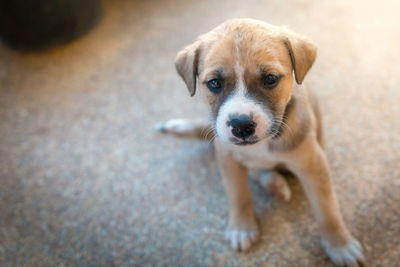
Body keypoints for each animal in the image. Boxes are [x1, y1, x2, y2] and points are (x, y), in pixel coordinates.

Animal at [159, 18, 366, 266]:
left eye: (270, 79)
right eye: (214, 83)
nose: (241, 125)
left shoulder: (313, 164)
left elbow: (327, 209)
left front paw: (340, 244)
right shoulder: (227, 159)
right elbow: (238, 195)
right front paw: (242, 228)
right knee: (258, 172)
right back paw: (274, 184)